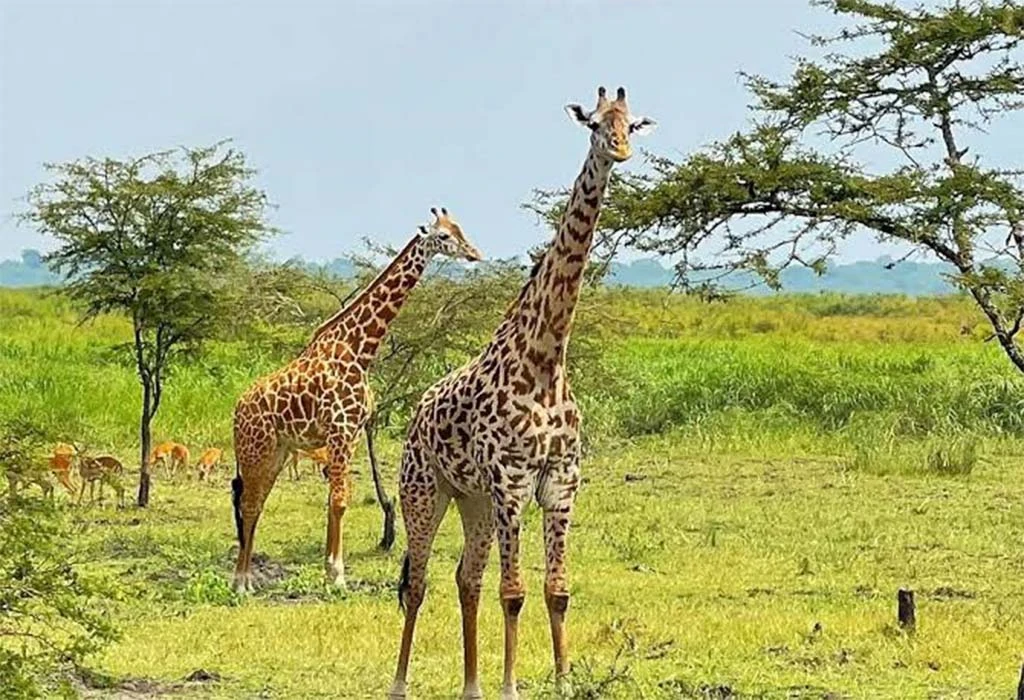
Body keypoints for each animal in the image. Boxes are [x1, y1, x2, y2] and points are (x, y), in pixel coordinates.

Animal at [231, 208, 484, 593]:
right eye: (443, 236)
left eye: (460, 229)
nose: (474, 253)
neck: (360, 350)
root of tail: (236, 410)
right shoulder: (339, 429)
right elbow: (339, 501)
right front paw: (337, 575)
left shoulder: (350, 434)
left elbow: (334, 501)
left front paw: (330, 569)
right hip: (254, 449)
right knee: (248, 503)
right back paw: (241, 581)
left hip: (278, 451)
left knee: (256, 502)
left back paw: (245, 577)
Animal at [387, 86, 656, 700]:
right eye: (594, 124)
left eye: (632, 123)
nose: (620, 149)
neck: (546, 360)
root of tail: (415, 414)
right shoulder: (510, 480)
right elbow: (514, 594)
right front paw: (513, 686)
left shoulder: (560, 481)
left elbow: (557, 590)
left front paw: (563, 680)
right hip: (425, 489)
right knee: (418, 582)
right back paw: (400, 683)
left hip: (475, 499)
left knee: (466, 578)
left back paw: (472, 686)